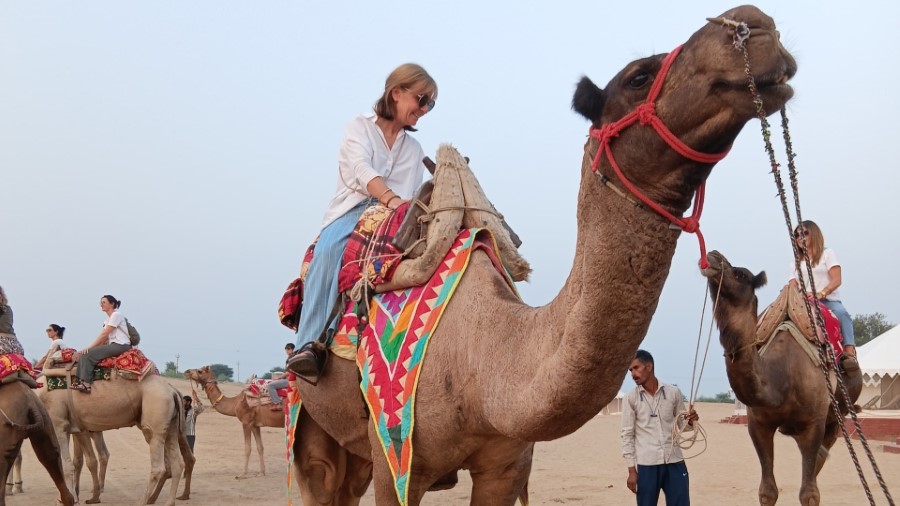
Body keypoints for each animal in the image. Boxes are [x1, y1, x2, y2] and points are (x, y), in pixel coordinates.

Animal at [38, 373, 185, 506]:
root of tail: (173, 390)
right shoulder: (73, 427)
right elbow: (76, 462)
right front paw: (68, 499)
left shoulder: (58, 423)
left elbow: (66, 465)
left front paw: (68, 500)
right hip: (171, 423)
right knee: (177, 462)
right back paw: (169, 502)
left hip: (156, 414)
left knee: (157, 464)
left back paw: (142, 501)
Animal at [293, 5, 798, 504]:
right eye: (638, 76)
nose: (754, 24)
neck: (484, 363)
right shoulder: (395, 459)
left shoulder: (506, 466)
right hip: (311, 423)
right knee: (321, 477)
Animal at [700, 250, 862, 505]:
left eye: (740, 273)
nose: (713, 255)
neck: (781, 378)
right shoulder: (758, 424)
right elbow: (768, 491)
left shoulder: (813, 423)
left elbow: (809, 494)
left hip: (837, 417)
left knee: (821, 457)